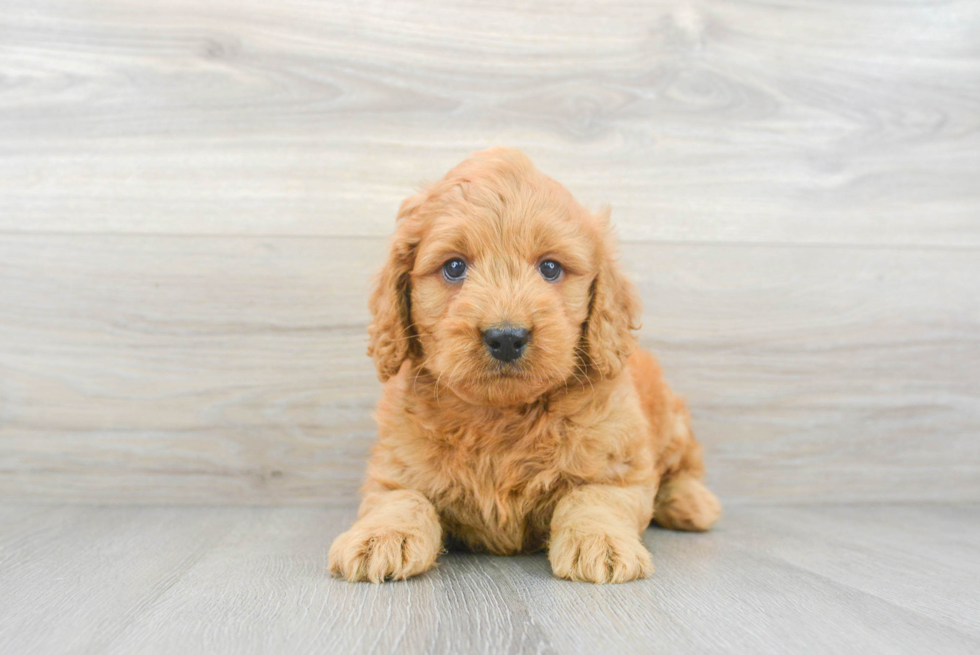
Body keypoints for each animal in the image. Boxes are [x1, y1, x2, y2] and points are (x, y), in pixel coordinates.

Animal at [330, 149, 720, 584]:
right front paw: (379, 537)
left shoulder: (620, 468)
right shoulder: (395, 467)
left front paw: (600, 542)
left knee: (683, 465)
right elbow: (401, 498)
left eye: (550, 268)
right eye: (454, 267)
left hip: (671, 422)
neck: (501, 417)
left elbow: (593, 496)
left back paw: (690, 503)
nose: (506, 337)